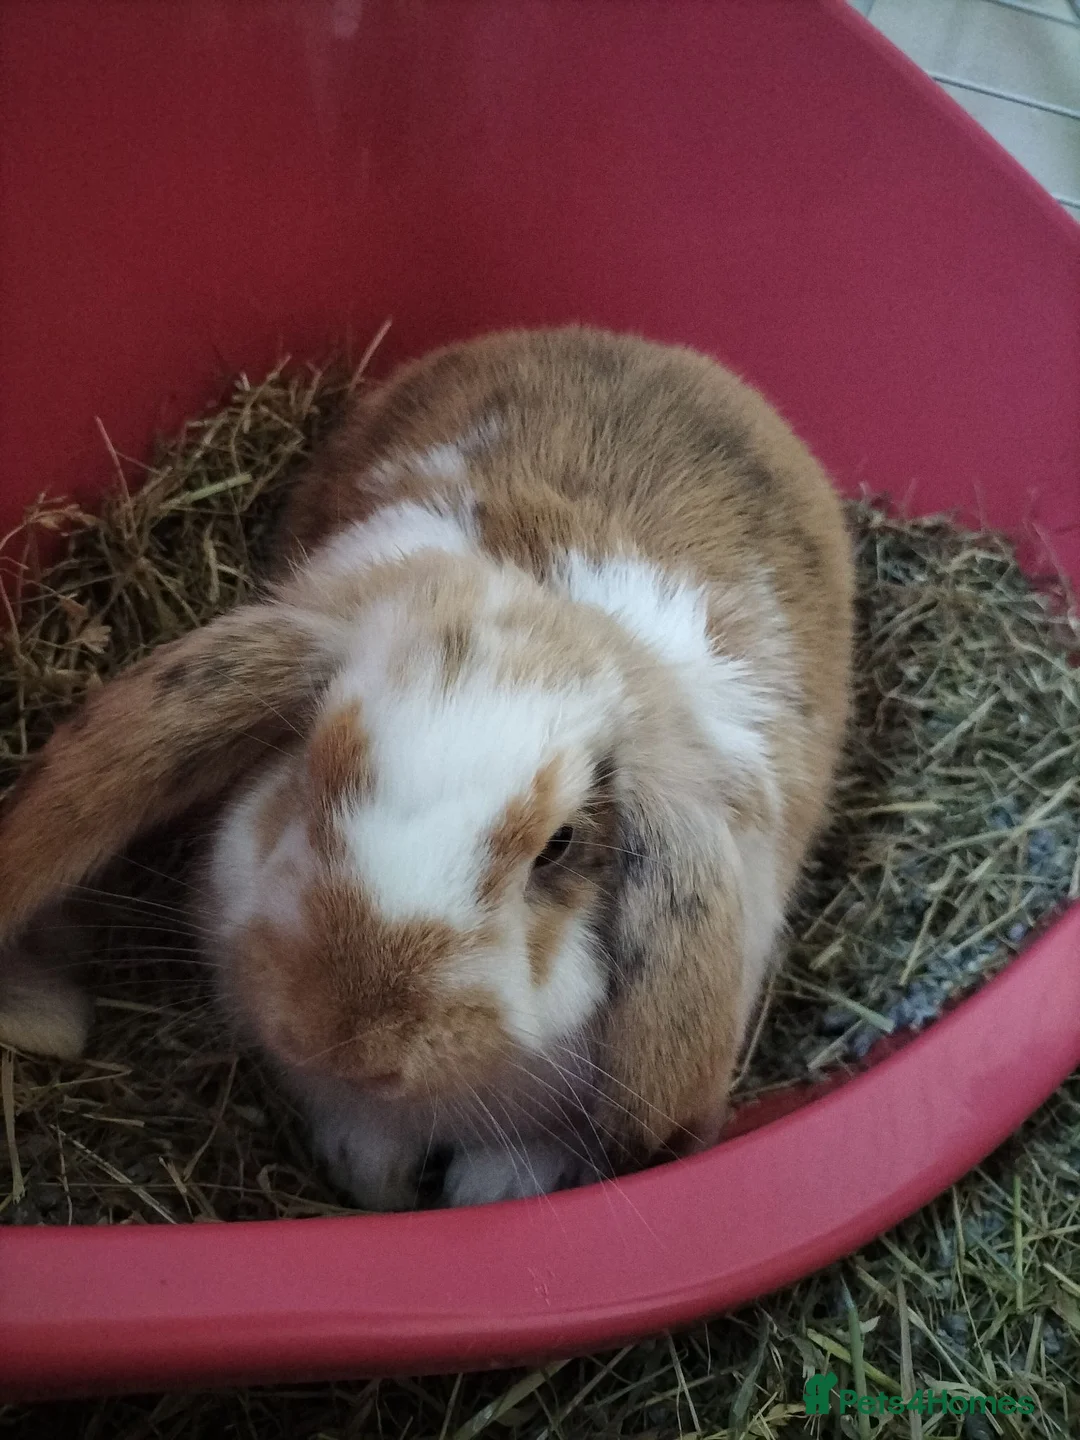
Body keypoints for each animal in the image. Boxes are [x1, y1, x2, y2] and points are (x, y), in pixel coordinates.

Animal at [0, 327, 854, 1209]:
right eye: (309, 765)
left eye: (559, 846)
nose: (345, 1039)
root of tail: (637, 345)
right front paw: (370, 1174)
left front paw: (492, 1189)